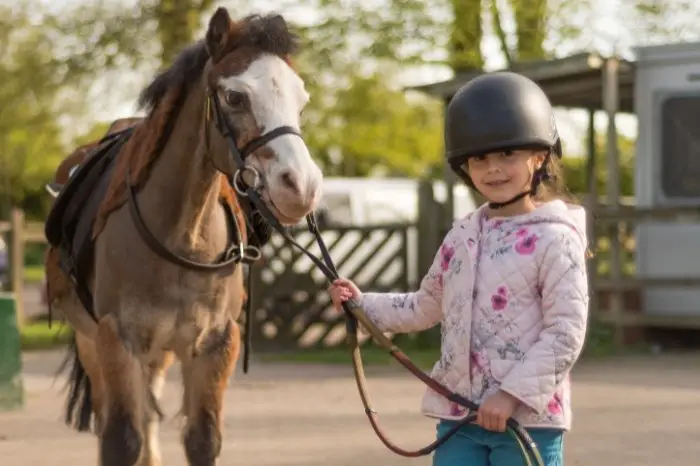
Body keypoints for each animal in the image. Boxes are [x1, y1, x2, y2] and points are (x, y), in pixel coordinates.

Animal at [45, 8, 324, 466]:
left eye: (301, 100)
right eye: (235, 97)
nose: (300, 186)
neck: (180, 237)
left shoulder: (214, 345)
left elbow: (202, 440)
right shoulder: (116, 340)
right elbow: (120, 439)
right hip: (92, 342)